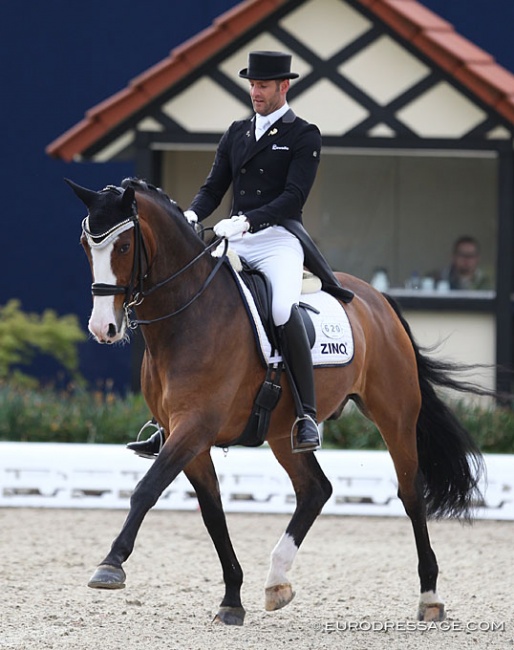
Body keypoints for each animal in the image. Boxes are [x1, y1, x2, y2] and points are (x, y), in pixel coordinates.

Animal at [68, 176, 484, 624]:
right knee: (315, 489)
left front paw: (110, 565)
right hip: (284, 432)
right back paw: (277, 581)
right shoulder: (188, 438)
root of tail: (377, 298)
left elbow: (147, 489)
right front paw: (232, 600)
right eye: (85, 244)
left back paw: (430, 597)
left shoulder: (194, 426)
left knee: (411, 494)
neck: (187, 317)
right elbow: (212, 513)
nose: (103, 328)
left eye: (125, 246)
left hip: (395, 416)